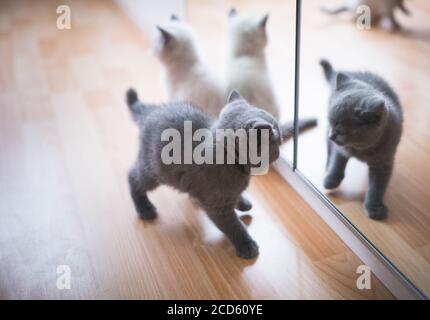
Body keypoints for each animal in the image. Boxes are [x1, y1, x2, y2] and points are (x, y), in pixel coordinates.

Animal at [127, 89, 282, 258]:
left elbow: (236, 195)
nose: (279, 152)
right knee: (133, 177)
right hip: (154, 171)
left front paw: (243, 203)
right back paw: (144, 208)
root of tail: (151, 111)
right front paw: (246, 245)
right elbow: (234, 226)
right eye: (278, 142)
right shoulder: (217, 207)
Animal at [320, 59, 404, 220]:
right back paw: (326, 166)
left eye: (340, 131)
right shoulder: (340, 149)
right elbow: (337, 162)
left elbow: (377, 187)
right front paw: (331, 180)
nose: (331, 135)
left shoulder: (384, 162)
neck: (361, 149)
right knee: (328, 149)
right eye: (331, 122)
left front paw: (375, 207)